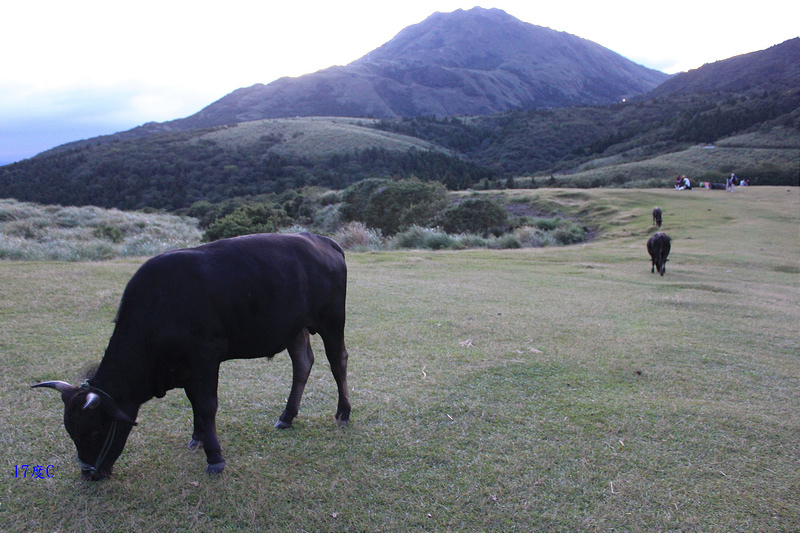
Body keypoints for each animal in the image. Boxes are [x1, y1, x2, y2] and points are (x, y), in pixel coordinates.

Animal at [32, 232, 350, 478]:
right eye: (71, 433)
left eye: (94, 433)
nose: (88, 474)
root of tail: (321, 240)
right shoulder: (185, 368)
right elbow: (194, 401)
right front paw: (197, 437)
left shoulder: (205, 357)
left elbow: (207, 405)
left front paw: (215, 457)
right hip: (294, 328)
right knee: (302, 365)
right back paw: (287, 416)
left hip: (331, 321)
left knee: (338, 362)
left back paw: (343, 412)